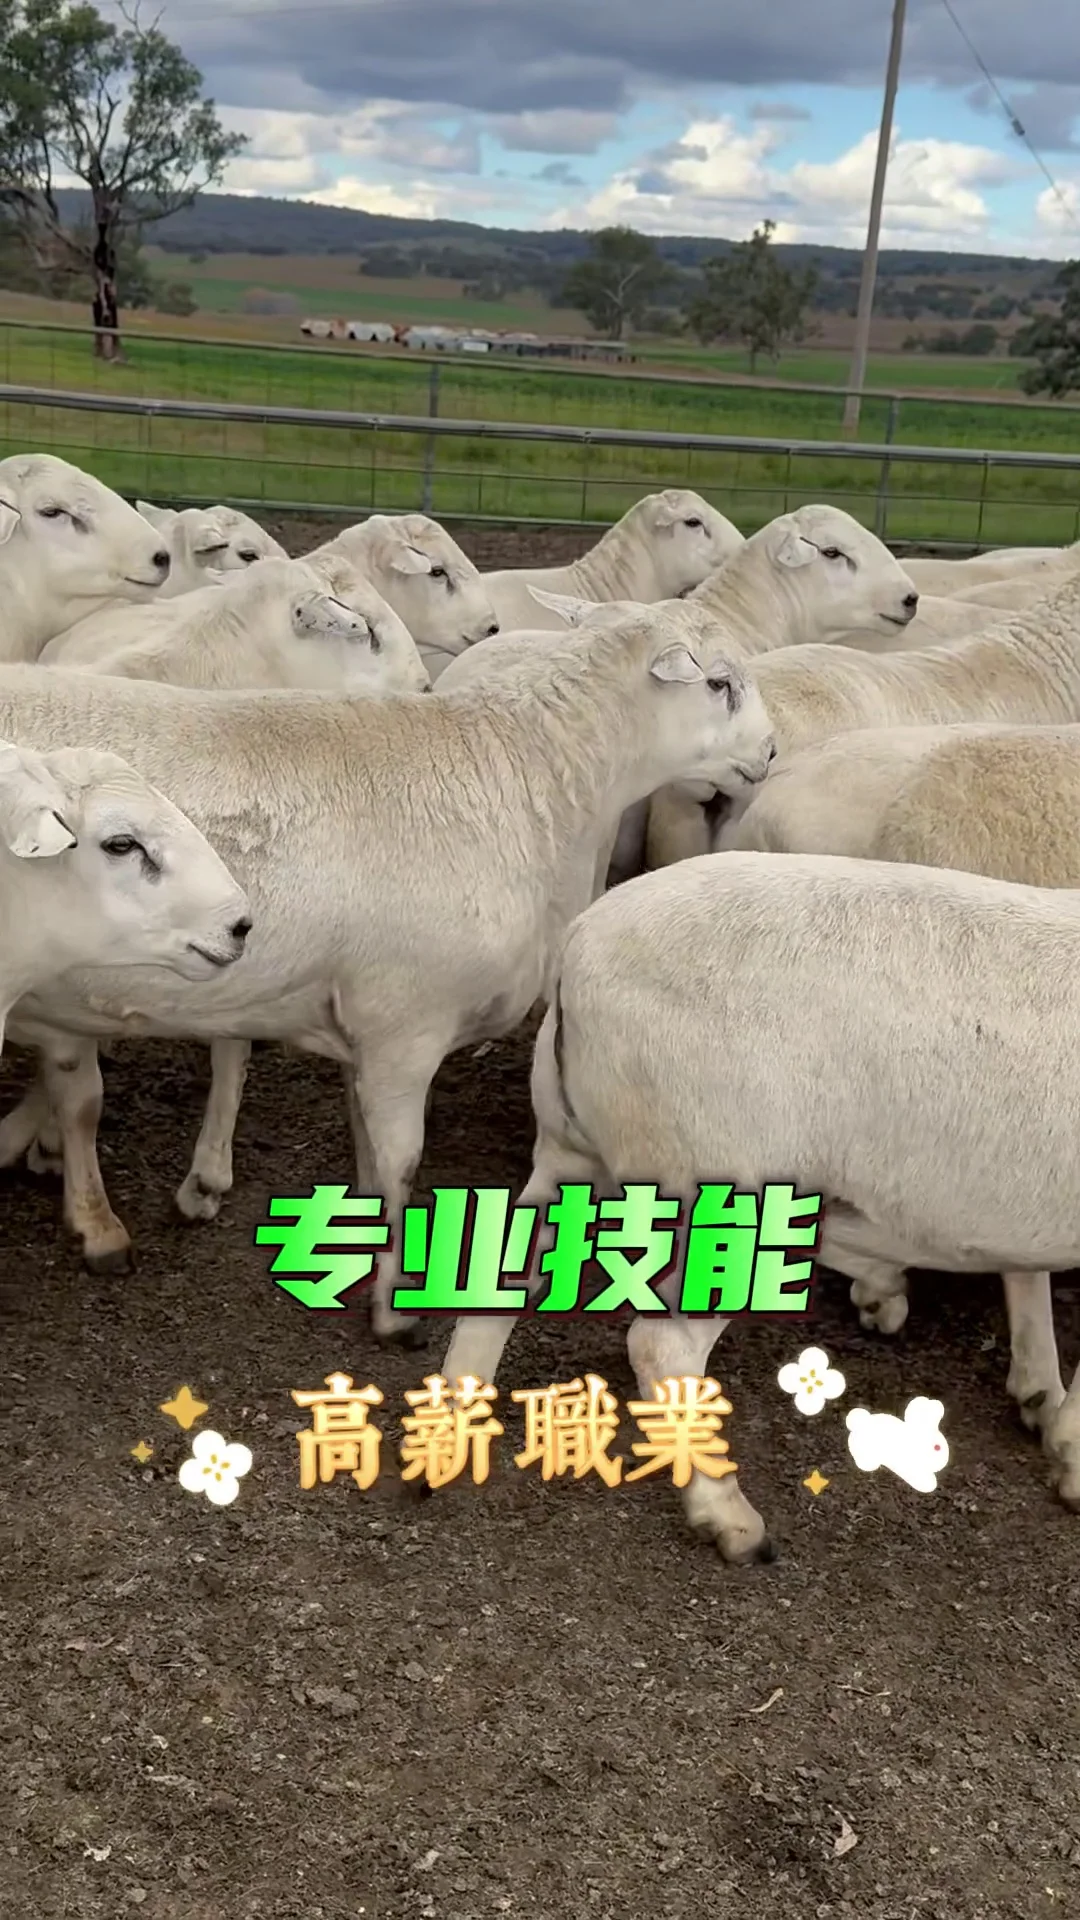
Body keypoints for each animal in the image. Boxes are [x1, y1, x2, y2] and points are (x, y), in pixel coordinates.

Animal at [436, 848, 1080, 1564]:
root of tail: (578, 948)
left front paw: (1041, 1396)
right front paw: (1072, 1456)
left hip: (571, 1152)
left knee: (501, 1275)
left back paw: (455, 1424)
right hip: (722, 1183)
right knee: (661, 1346)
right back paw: (727, 1515)